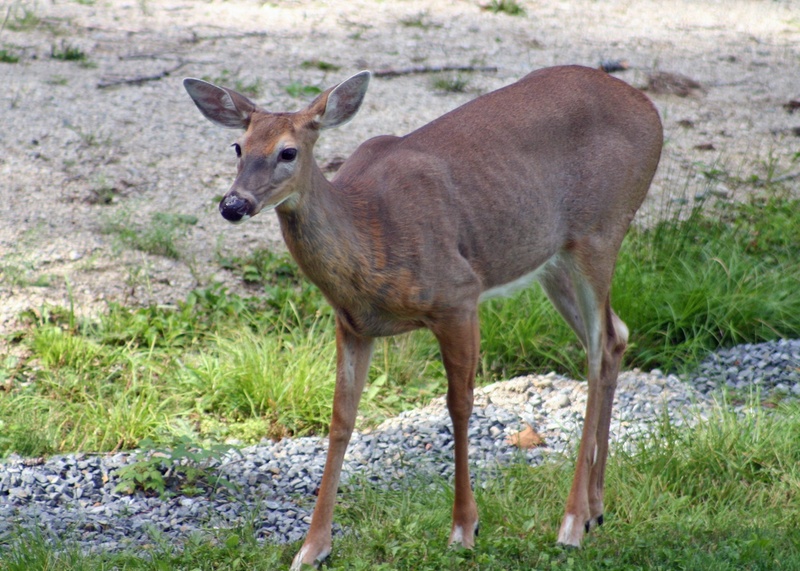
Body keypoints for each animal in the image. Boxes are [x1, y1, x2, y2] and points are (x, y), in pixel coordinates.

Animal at [183, 64, 663, 569]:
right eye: (238, 146)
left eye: (288, 152)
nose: (233, 205)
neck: (371, 231)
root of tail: (649, 108)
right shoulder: (352, 324)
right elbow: (341, 420)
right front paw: (312, 547)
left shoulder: (458, 295)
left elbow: (460, 404)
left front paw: (464, 528)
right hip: (553, 258)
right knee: (614, 336)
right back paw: (595, 509)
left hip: (601, 230)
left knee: (596, 350)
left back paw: (570, 523)